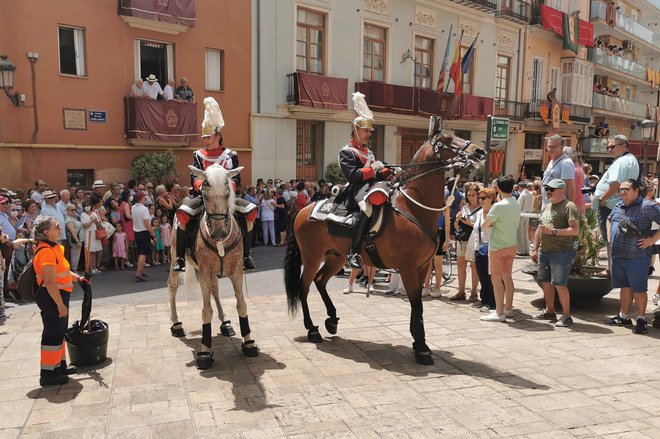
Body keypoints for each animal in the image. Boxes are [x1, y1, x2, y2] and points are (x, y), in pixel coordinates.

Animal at [284, 122, 484, 366]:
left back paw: (331, 320)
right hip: (312, 256)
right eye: (446, 139)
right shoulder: (408, 267)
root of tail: (303, 210)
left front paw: (418, 342)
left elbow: (417, 304)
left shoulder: (422, 266)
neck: (413, 206)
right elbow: (416, 303)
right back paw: (312, 329)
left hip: (336, 256)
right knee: (304, 286)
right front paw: (422, 348)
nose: (479, 151)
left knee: (320, 282)